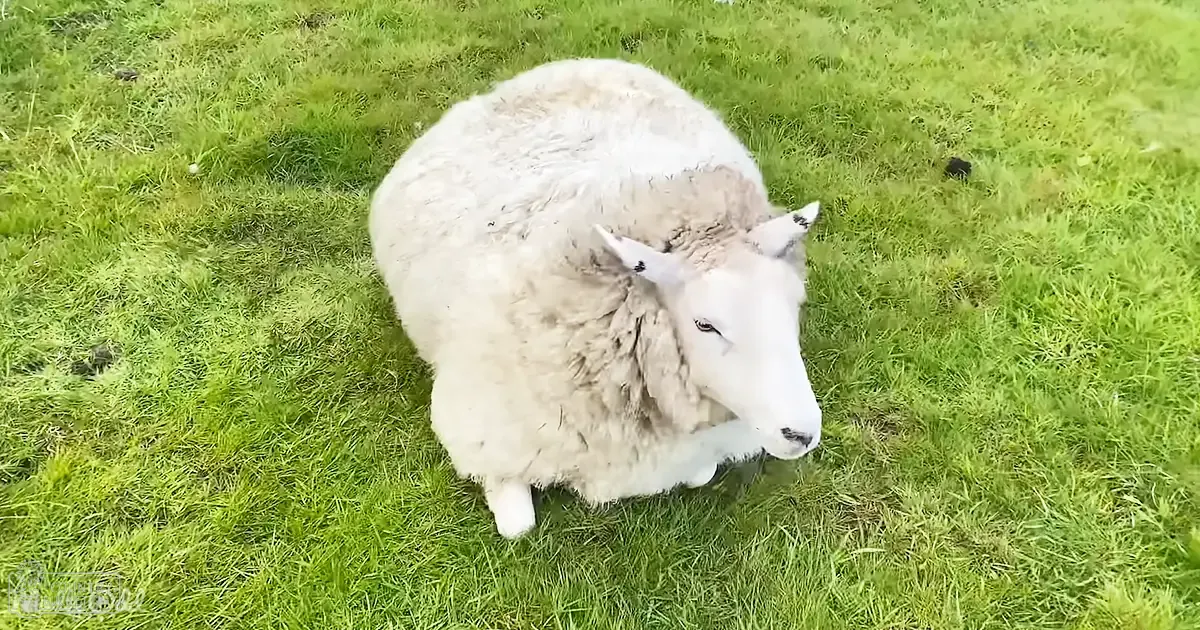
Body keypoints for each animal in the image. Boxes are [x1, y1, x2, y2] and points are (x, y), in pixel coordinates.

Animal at [368, 58, 824, 539]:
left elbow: (702, 472)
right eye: (705, 324)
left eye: (794, 306)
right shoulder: (482, 433)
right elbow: (518, 525)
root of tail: (561, 68)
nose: (802, 434)